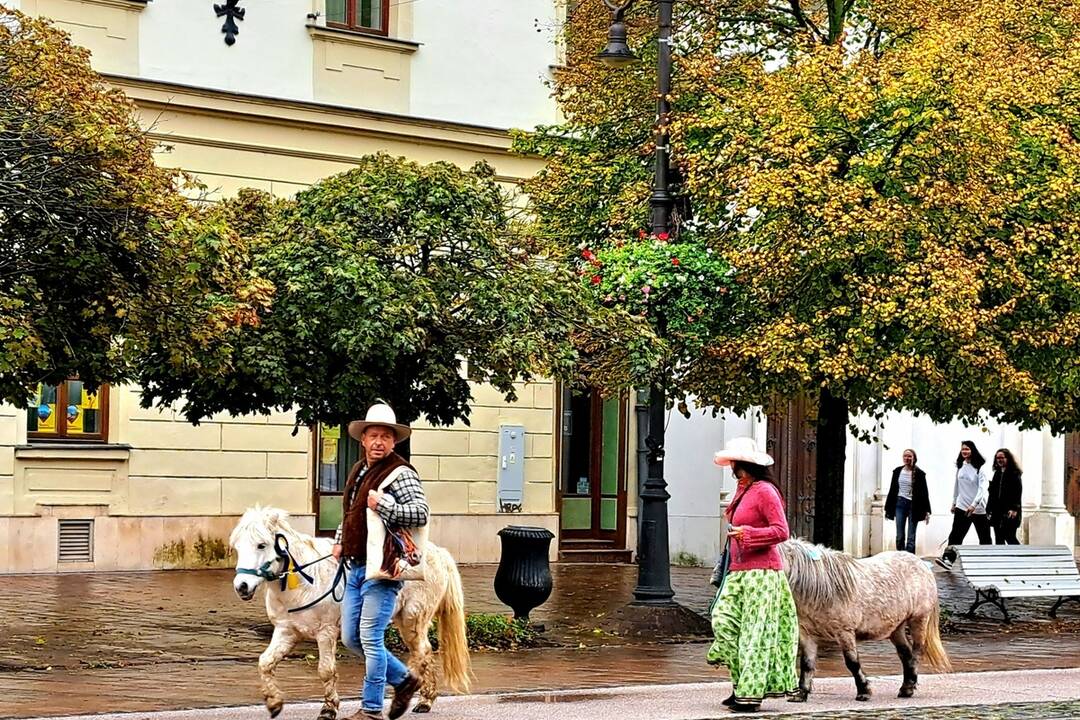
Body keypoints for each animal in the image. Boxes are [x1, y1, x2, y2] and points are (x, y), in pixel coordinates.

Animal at [230, 509, 470, 716]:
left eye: (261, 545)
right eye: (238, 547)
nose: (241, 586)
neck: (306, 581)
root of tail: (439, 553)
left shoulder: (325, 633)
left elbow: (325, 670)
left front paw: (328, 709)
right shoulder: (286, 632)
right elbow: (265, 663)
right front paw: (274, 703)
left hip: (412, 621)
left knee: (423, 652)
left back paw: (423, 700)